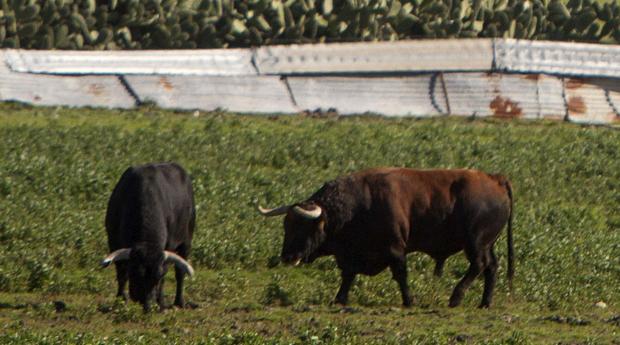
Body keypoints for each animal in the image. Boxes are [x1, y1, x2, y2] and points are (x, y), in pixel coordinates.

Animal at [258, 167, 512, 306]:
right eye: (286, 226)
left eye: (303, 227)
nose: (287, 256)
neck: (359, 205)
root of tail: (494, 179)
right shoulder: (352, 256)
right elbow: (348, 275)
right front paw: (339, 299)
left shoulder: (395, 249)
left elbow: (400, 274)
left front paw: (409, 301)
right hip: (486, 244)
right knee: (491, 267)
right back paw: (485, 302)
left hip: (475, 243)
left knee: (479, 265)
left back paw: (456, 297)